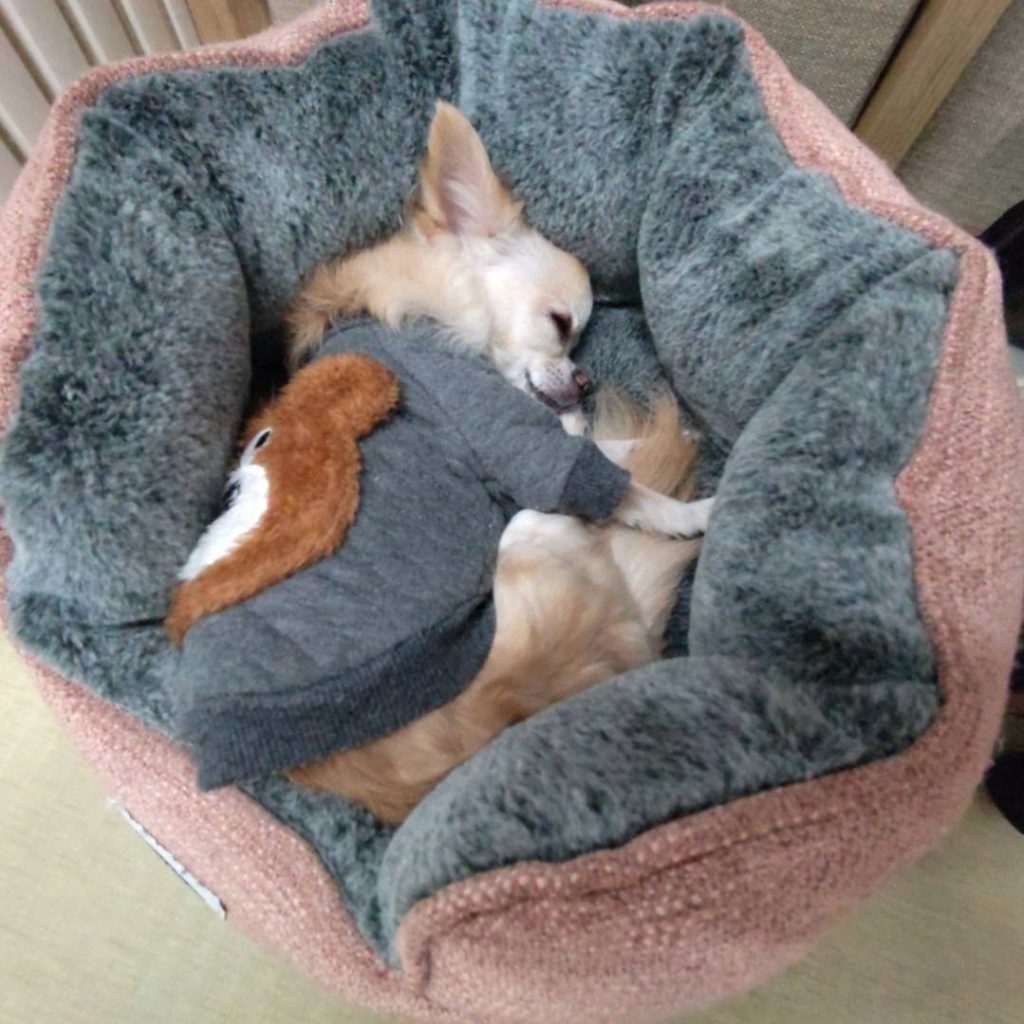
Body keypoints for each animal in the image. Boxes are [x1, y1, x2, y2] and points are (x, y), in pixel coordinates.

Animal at [284, 102, 710, 822]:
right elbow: (619, 485)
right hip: (530, 528)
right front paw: (691, 512)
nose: (586, 381)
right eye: (562, 323)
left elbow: (599, 451)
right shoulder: (505, 437)